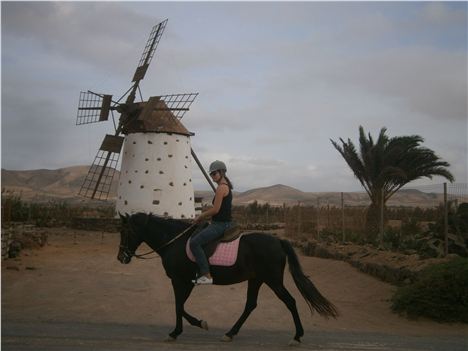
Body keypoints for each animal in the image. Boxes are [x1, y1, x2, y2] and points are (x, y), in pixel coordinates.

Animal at [116, 213, 336, 346]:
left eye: (125, 231)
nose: (121, 258)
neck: (174, 241)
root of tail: (278, 241)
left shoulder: (180, 281)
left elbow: (178, 306)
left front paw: (177, 331)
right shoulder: (186, 282)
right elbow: (181, 306)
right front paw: (198, 324)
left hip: (273, 281)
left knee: (290, 302)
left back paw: (297, 337)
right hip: (256, 279)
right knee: (250, 305)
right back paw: (230, 333)